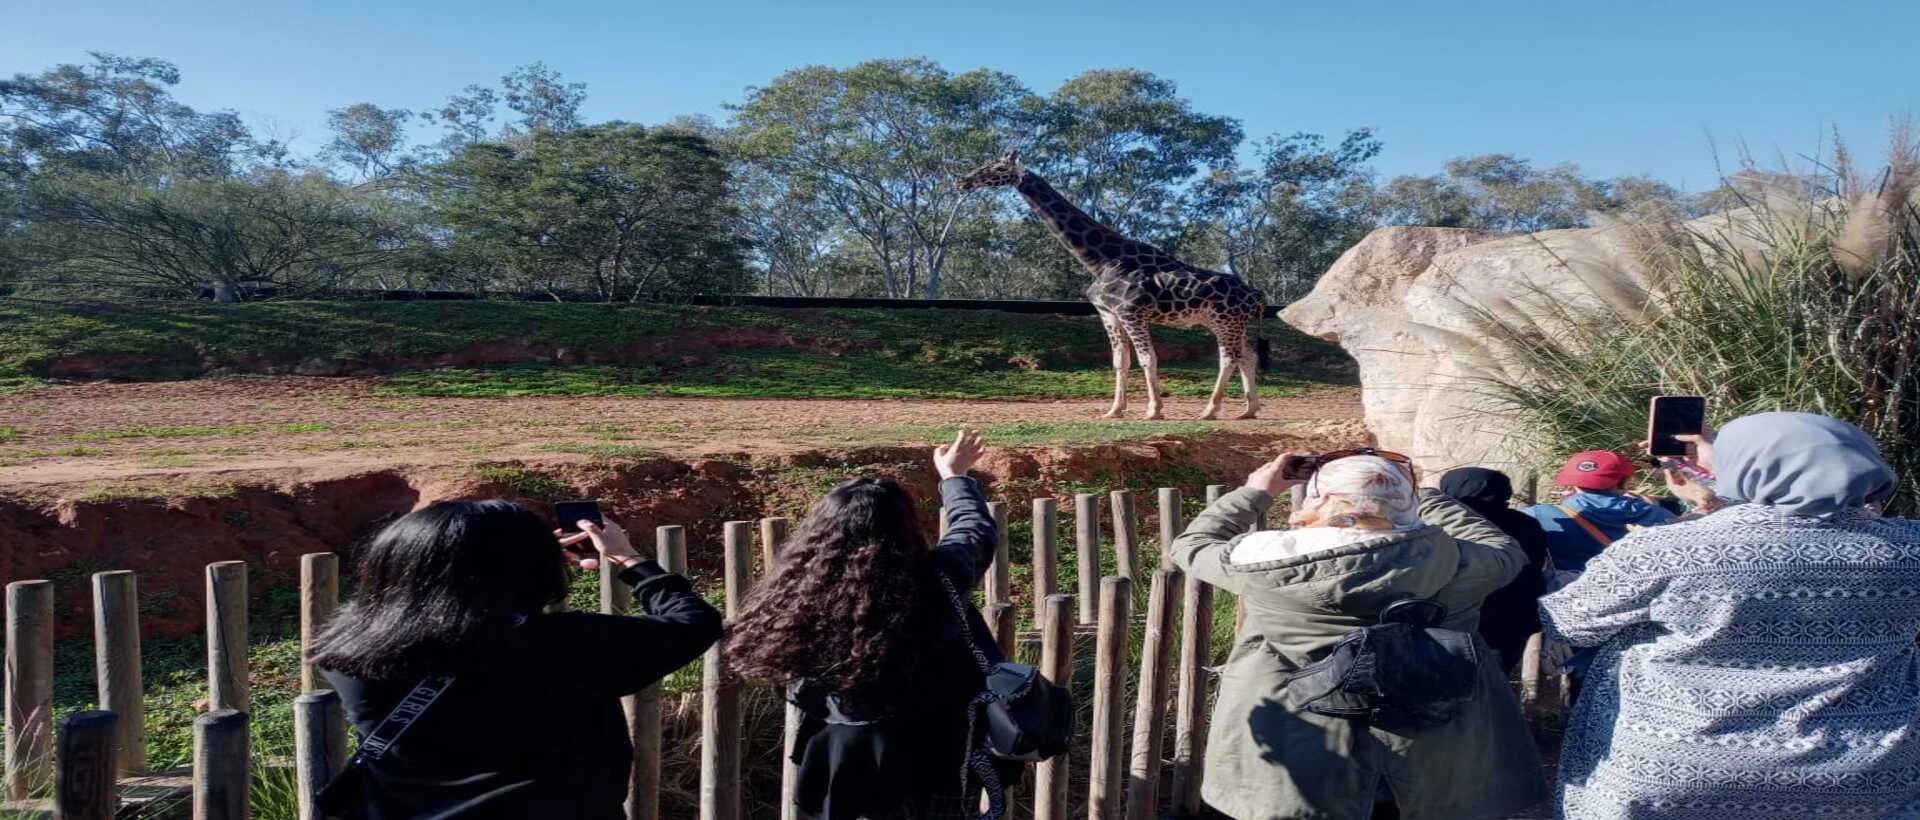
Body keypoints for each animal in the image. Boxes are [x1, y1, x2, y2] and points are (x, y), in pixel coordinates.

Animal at [952, 152, 1267, 424]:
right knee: (1248, 355)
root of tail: (1257, 296)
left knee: (1229, 358)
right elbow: (1120, 361)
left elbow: (1147, 359)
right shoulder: (1109, 314)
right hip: (1229, 323)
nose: (962, 181)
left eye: (996, 168)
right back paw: (1249, 410)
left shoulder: (1131, 314)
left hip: (1225, 320)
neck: (1102, 259)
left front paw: (1154, 410)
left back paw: (1210, 410)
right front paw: (1115, 410)